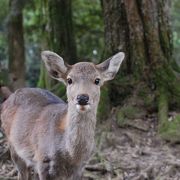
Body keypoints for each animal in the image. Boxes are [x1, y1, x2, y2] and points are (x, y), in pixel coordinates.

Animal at [0, 51, 124, 180]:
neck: (70, 156)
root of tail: (9, 96)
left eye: (97, 80)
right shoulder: (43, 161)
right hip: (12, 145)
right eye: (69, 80)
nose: (82, 98)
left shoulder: (80, 168)